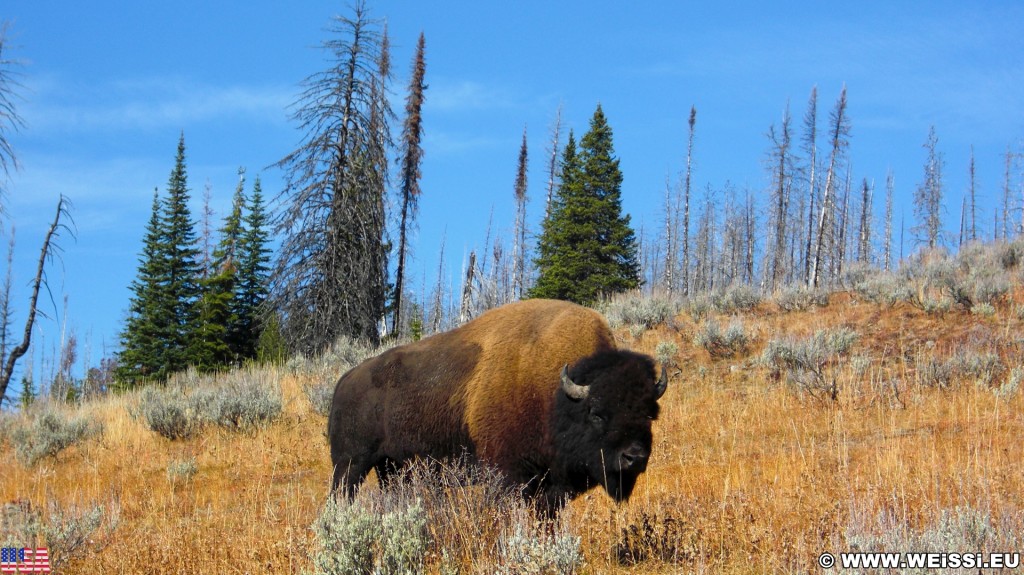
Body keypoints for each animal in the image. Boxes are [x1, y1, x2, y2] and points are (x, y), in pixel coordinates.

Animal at [323, 296, 667, 507]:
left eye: (650, 414)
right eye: (596, 413)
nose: (634, 457)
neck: (554, 392)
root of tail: (346, 379)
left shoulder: (550, 486)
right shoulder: (508, 475)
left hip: (392, 469)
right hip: (350, 465)